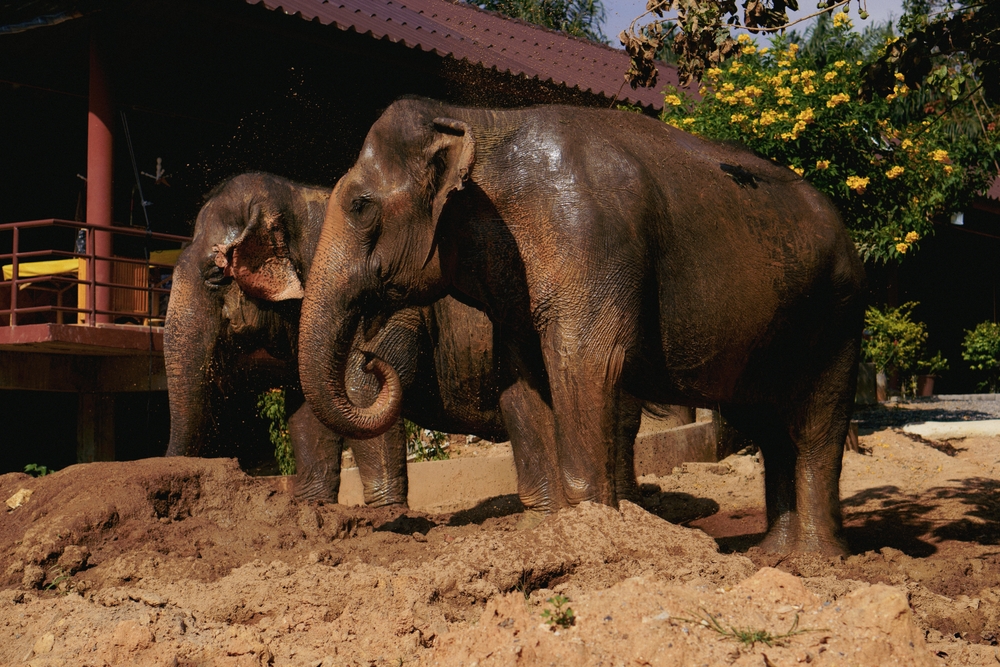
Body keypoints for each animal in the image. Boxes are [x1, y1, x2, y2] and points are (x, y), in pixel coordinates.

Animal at [166, 172, 508, 506]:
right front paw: (316, 508)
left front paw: (386, 514)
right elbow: (305, 414)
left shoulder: (383, 297)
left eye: (215, 275)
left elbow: (362, 389)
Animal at [296, 98, 868, 552]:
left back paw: (816, 561)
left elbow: (586, 364)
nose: (371, 357)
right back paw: (774, 555)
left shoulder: (590, 240)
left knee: (814, 430)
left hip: (839, 313)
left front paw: (593, 538)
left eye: (360, 206)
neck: (478, 120)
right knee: (773, 429)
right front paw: (556, 536)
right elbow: (521, 387)